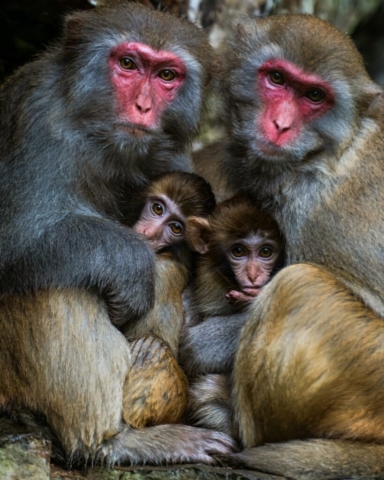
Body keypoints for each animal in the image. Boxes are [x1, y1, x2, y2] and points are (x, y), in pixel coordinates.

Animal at [181, 13, 384, 480]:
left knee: (300, 286)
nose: (280, 126)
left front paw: (202, 344)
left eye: (314, 96)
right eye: (276, 78)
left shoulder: (324, 214)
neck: (322, 156)